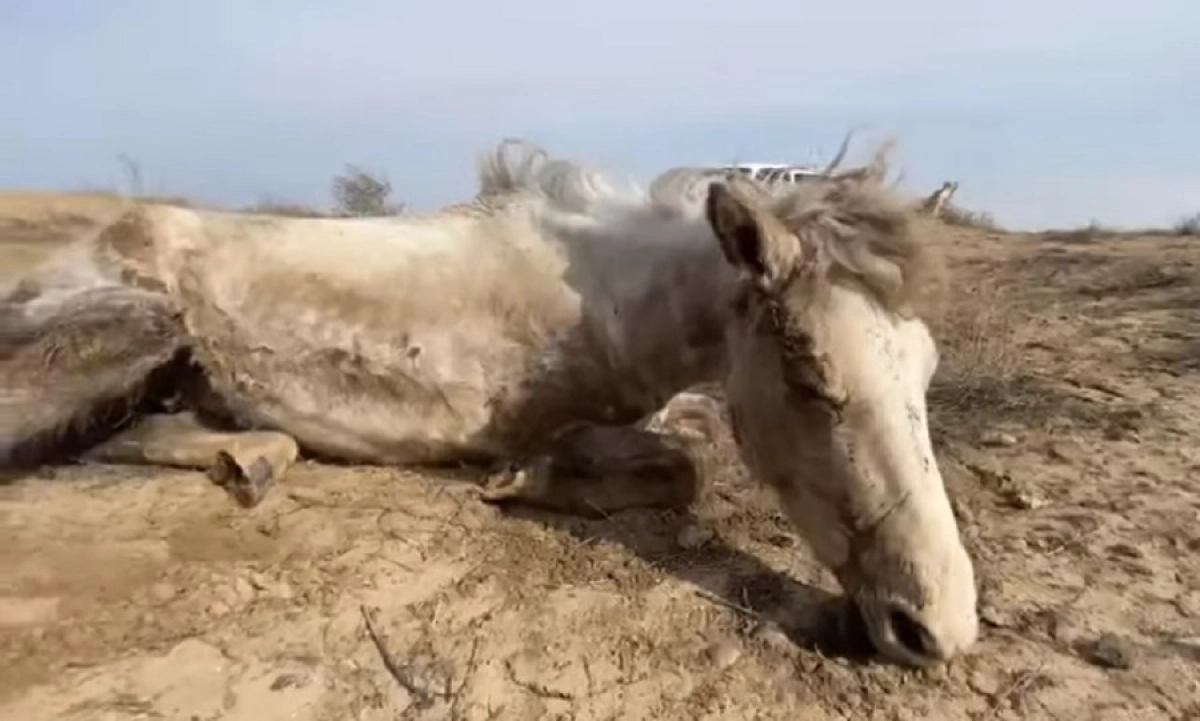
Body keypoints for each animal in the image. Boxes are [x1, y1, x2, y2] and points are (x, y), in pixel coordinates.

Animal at [0, 137, 974, 667]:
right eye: (808, 373)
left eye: (926, 367)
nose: (937, 628)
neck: (610, 301)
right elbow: (679, 468)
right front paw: (522, 478)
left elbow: (690, 439)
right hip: (134, 326)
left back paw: (251, 452)